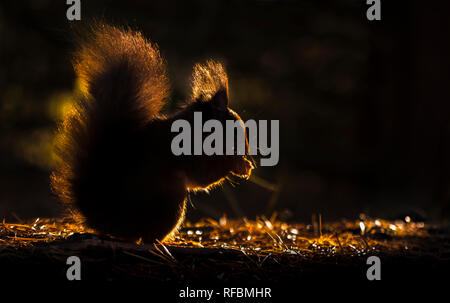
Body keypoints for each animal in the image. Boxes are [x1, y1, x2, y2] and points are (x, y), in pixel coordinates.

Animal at [51, 23, 255, 245]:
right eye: (235, 129)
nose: (247, 150)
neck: (198, 130)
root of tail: (113, 221)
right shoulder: (190, 155)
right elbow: (203, 176)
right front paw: (239, 164)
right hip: (171, 200)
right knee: (147, 236)